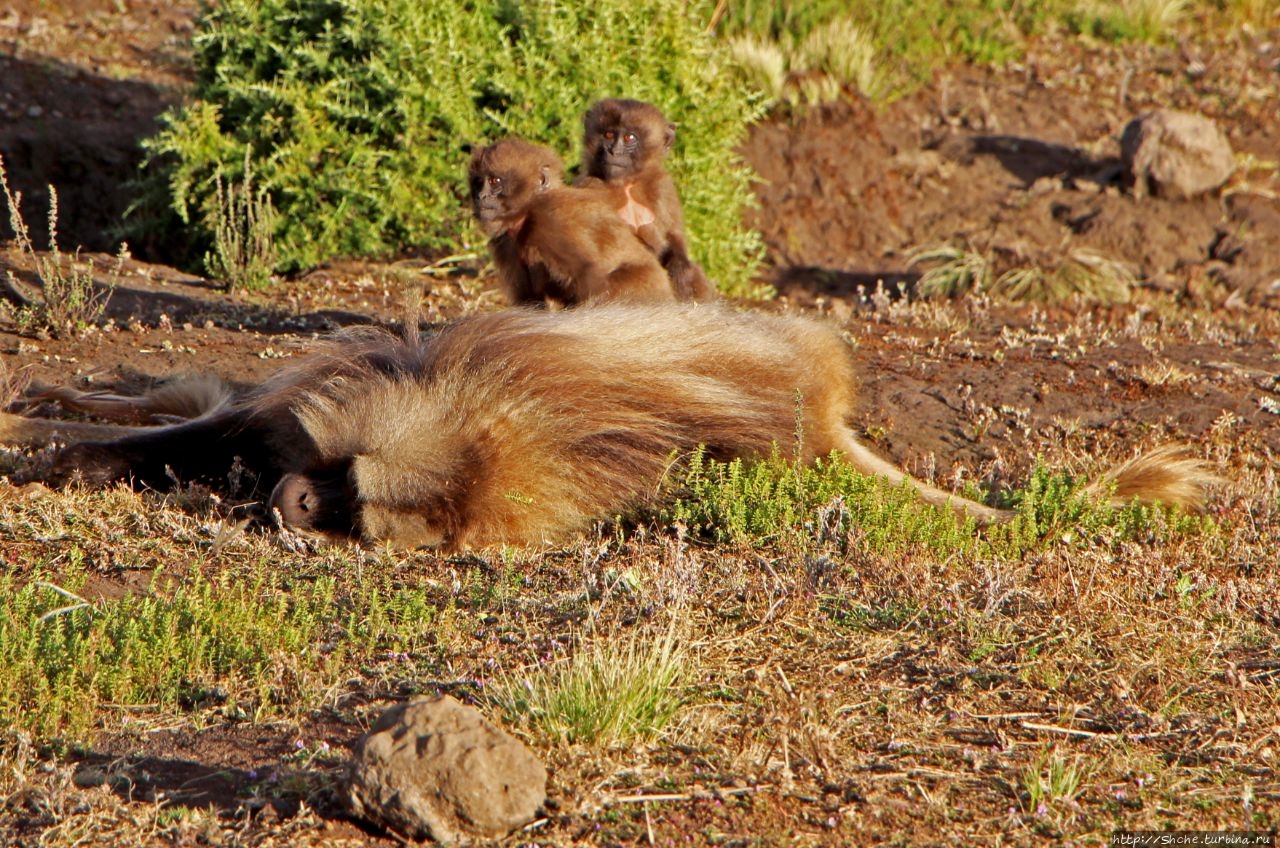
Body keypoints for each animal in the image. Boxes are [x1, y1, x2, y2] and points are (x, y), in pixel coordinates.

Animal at [468, 137, 670, 311]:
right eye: (479, 183)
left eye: (495, 182)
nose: (481, 196)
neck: (529, 211)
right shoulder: (505, 244)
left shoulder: (550, 220)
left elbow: (590, 278)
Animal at [576, 99, 716, 302]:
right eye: (609, 134)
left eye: (629, 138)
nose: (614, 151)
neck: (627, 185)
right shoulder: (589, 186)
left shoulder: (662, 185)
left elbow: (673, 236)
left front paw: (680, 268)